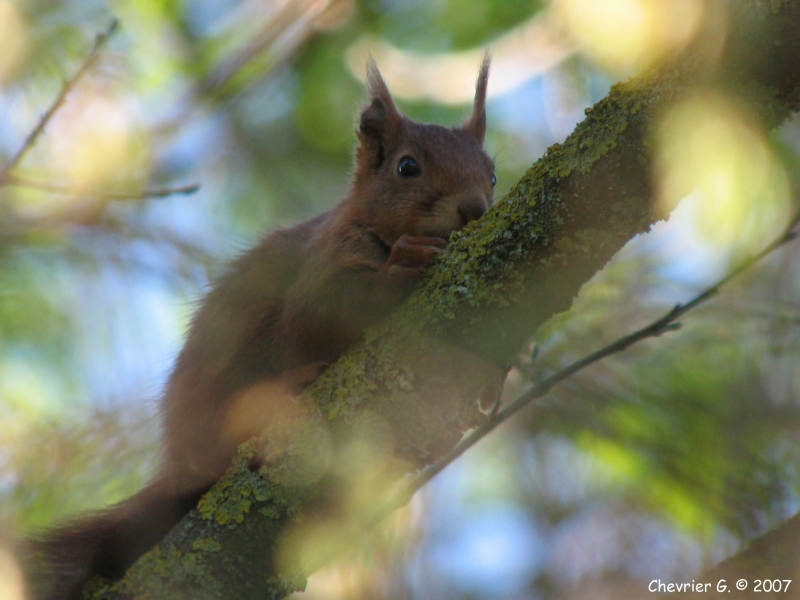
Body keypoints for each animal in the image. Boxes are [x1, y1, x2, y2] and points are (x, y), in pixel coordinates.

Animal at [31, 57, 496, 600]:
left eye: (492, 173)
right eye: (407, 167)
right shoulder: (322, 263)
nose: (474, 207)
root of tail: (178, 460)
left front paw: (490, 384)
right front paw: (403, 264)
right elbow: (317, 316)